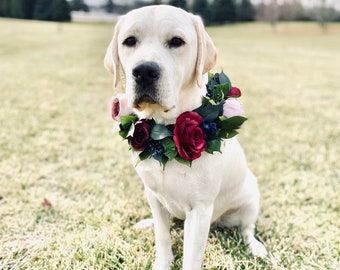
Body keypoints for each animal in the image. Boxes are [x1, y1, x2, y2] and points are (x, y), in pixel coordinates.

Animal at [105, 4, 266, 270]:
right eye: (129, 41)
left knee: (247, 228)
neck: (164, 135)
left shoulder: (199, 210)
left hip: (250, 198)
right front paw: (162, 261)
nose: (144, 71)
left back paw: (255, 246)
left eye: (176, 41)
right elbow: (162, 236)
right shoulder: (154, 196)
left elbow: (192, 256)